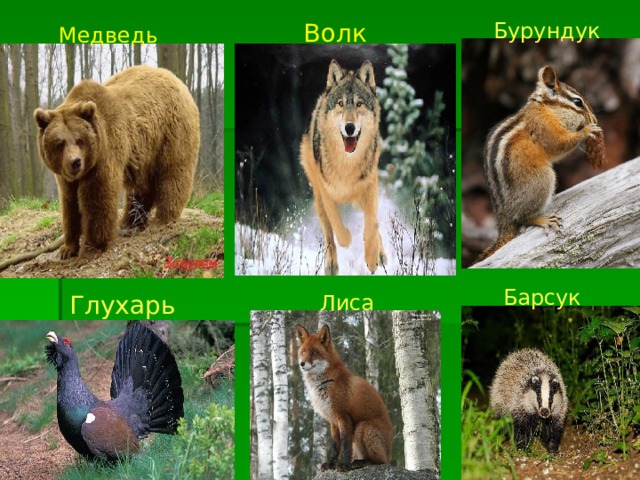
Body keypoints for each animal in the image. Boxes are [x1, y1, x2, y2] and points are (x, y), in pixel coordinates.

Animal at [34, 65, 200, 260]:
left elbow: (98, 199)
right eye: (60, 143)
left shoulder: (105, 153)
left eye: (79, 140)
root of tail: (177, 79)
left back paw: (164, 217)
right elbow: (69, 203)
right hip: (144, 152)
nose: (75, 162)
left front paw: (91, 248)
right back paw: (130, 221)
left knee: (172, 174)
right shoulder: (66, 176)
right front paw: (67, 248)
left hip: (171, 132)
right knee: (140, 188)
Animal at [295, 324, 393, 471]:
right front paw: (331, 464)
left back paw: (359, 463)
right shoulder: (332, 419)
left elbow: (345, 443)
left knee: (380, 462)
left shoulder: (343, 415)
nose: (302, 363)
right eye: (303, 352)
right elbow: (335, 445)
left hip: (363, 427)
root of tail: (389, 454)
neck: (325, 383)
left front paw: (345, 465)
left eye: (314, 352)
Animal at [300, 59, 387, 275]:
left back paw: (380, 254)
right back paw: (331, 266)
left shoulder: (370, 186)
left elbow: (372, 224)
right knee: (329, 234)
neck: (347, 165)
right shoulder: (327, 193)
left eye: (359, 104)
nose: (349, 127)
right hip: (319, 200)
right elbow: (339, 230)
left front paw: (372, 257)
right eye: (340, 104)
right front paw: (348, 238)